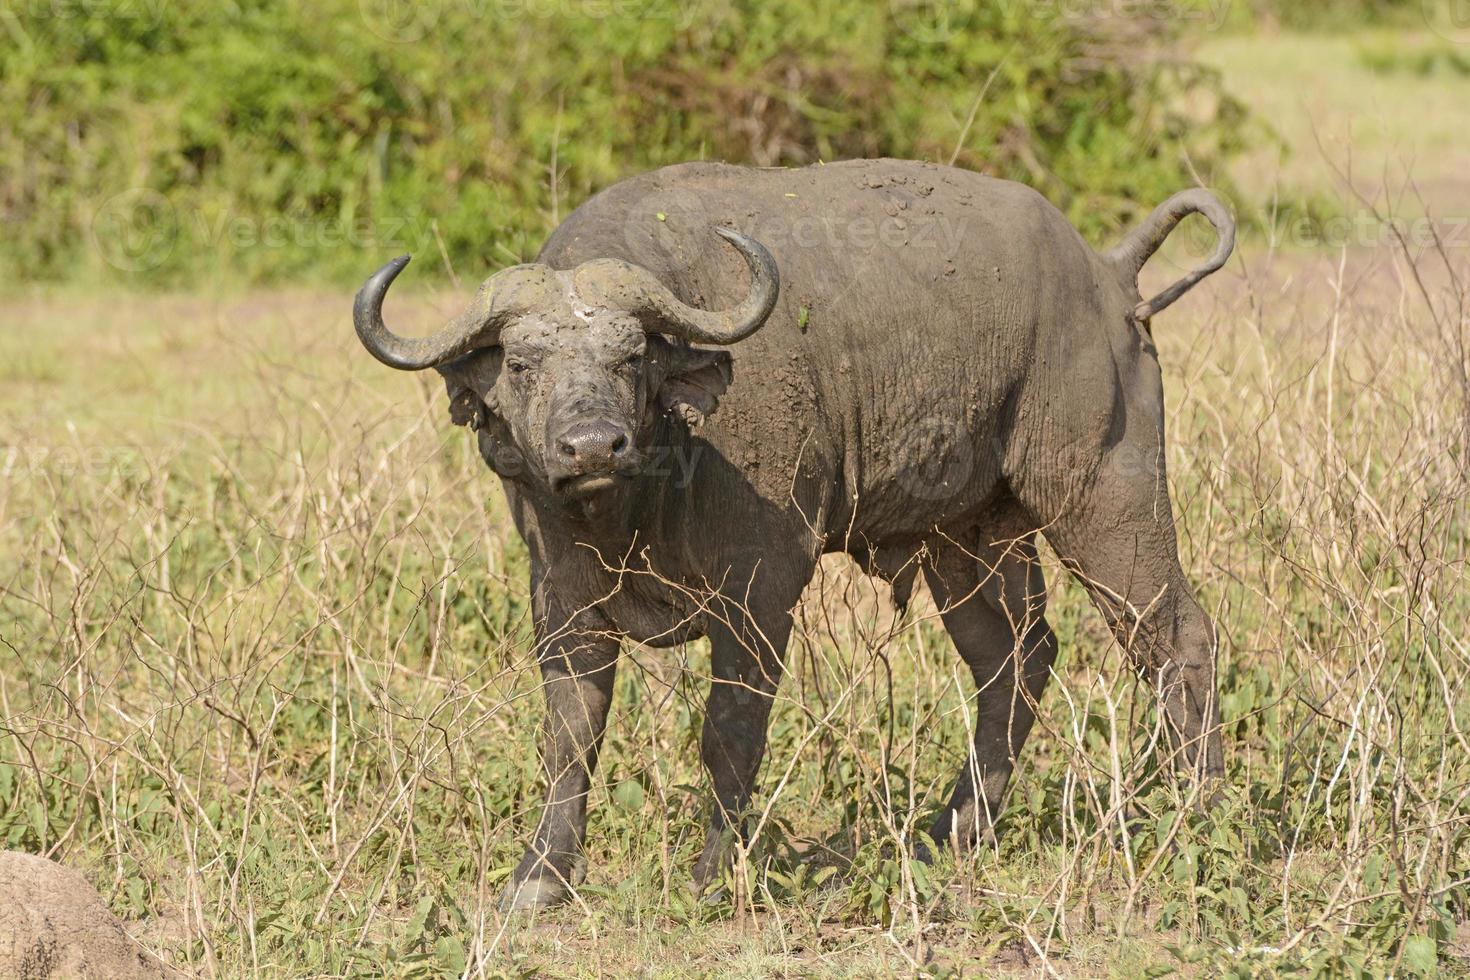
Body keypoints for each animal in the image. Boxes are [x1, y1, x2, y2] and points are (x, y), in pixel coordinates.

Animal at [352, 159, 1228, 910]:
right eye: (522, 364)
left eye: (631, 357)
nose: (594, 445)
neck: (642, 497)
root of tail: (1107, 274)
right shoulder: (561, 598)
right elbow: (570, 736)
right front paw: (539, 878)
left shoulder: (760, 590)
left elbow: (730, 732)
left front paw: (713, 874)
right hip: (967, 534)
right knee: (1015, 655)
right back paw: (952, 832)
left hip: (1102, 489)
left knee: (1173, 634)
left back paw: (1198, 812)